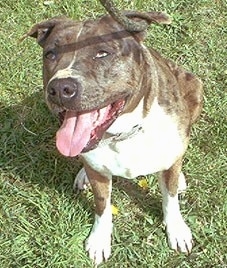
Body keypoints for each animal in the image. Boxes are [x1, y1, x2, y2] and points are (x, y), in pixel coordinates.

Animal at [24, 10, 202, 266]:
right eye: (50, 54)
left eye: (102, 53)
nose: (60, 88)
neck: (122, 134)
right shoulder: (99, 177)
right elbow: (102, 206)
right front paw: (99, 240)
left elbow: (170, 198)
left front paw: (176, 229)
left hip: (195, 86)